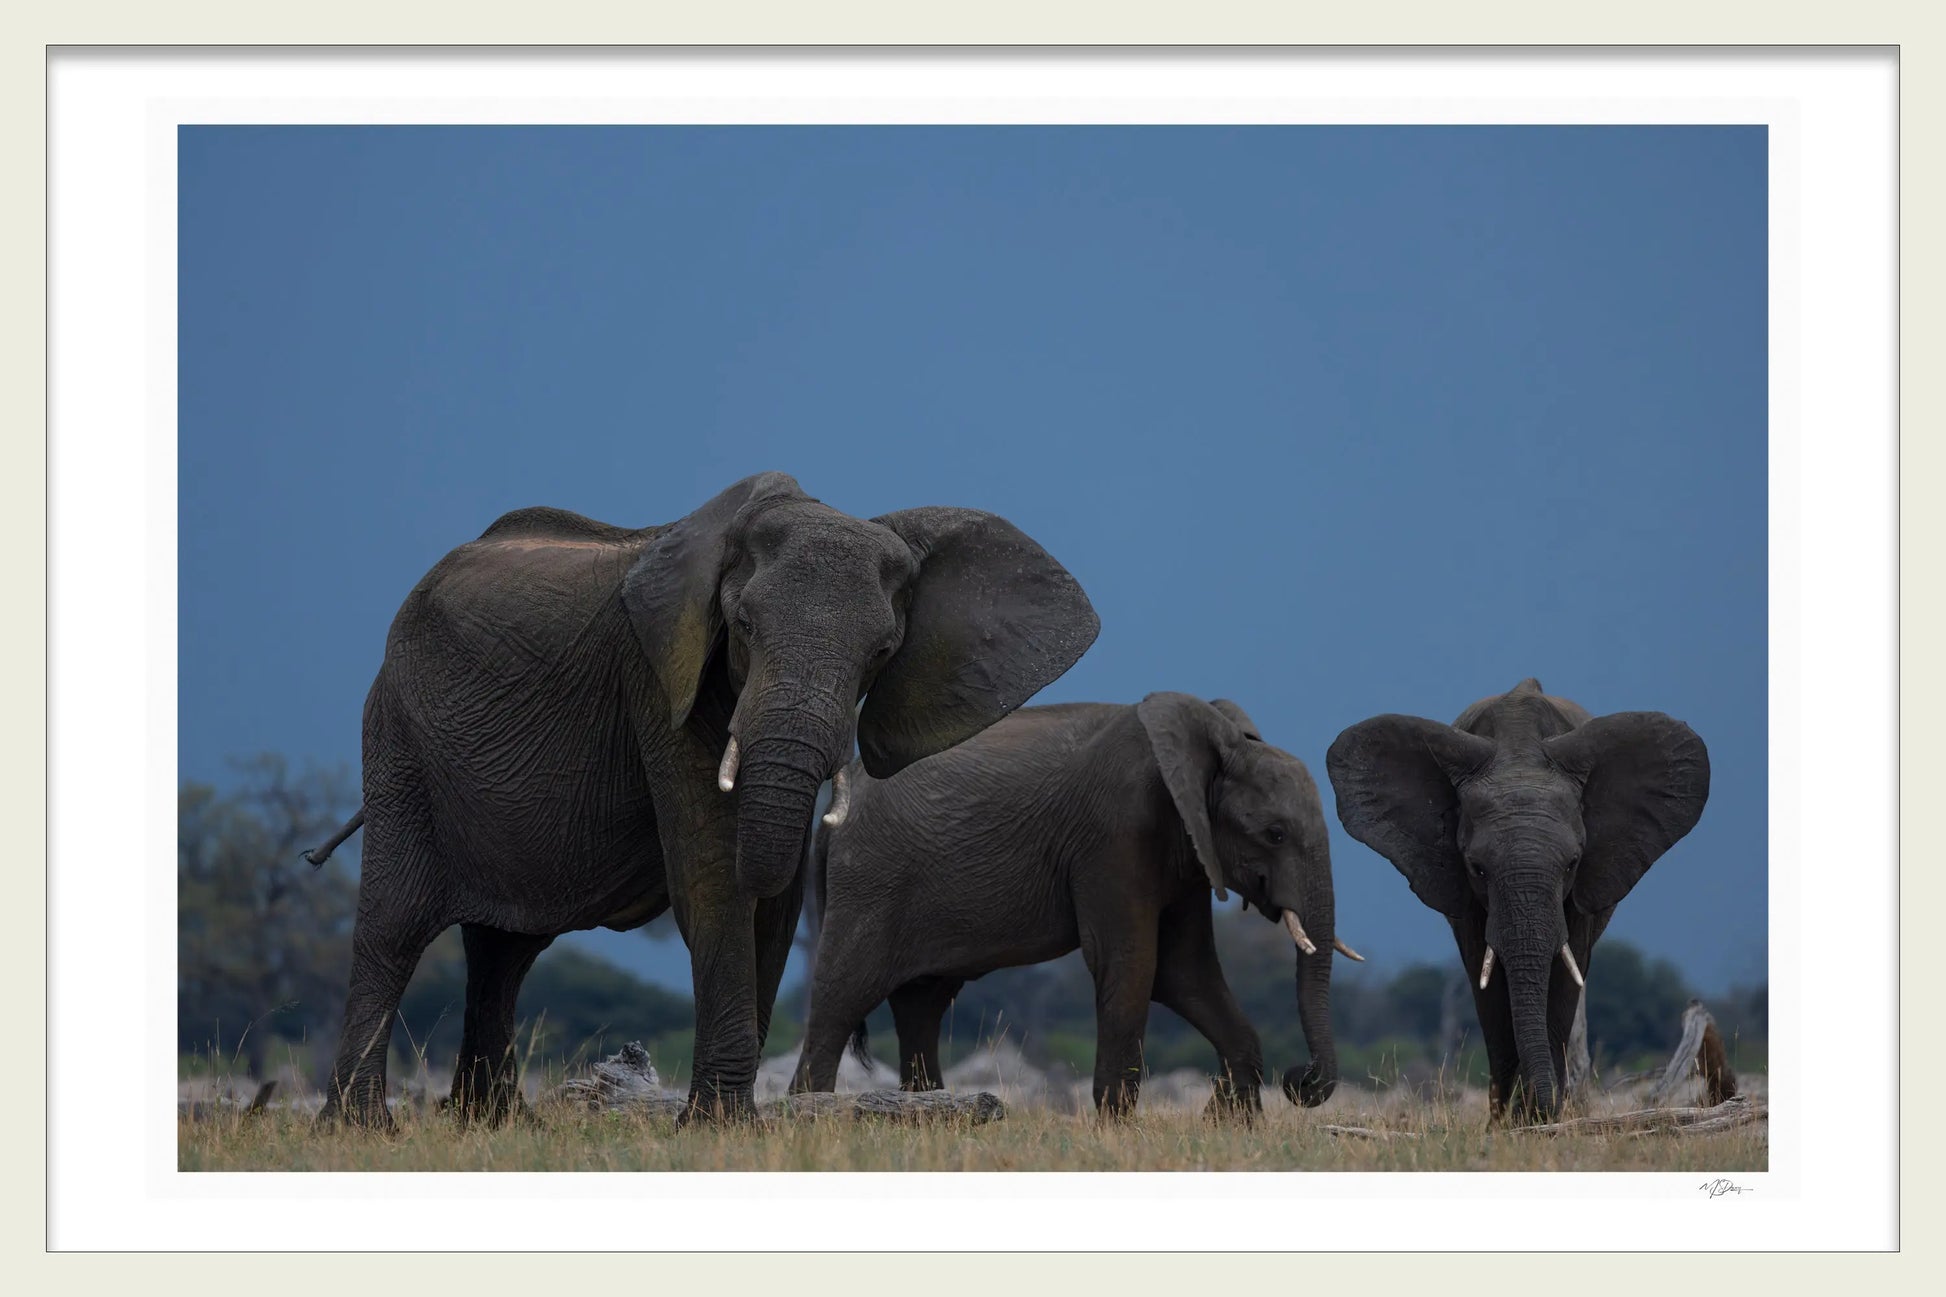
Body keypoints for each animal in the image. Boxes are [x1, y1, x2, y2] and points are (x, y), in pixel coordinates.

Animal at [303, 473, 1097, 1121]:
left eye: (881, 652)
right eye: (741, 626)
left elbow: (771, 902)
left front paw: (727, 1122)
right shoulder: (659, 679)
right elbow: (714, 875)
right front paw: (720, 1125)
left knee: (505, 948)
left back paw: (494, 1123)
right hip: (400, 735)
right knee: (395, 927)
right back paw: (363, 1128)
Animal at [786, 693, 1354, 1113]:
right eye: (1275, 834)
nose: (1300, 1080)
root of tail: (835, 805)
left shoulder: (1191, 851)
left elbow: (1183, 972)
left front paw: (1228, 1123)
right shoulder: (1116, 834)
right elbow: (1132, 964)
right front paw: (1118, 1131)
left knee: (921, 1005)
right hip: (870, 884)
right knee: (842, 999)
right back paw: (808, 1113)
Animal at [1323, 677, 1704, 1121]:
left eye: (1572, 863)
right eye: (1477, 868)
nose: (1534, 1106)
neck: (1519, 749)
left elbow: (1567, 969)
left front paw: (1538, 1119)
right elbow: (1483, 975)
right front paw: (1506, 1121)